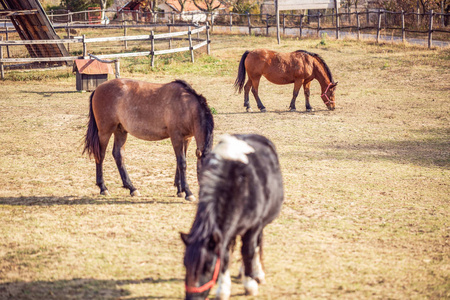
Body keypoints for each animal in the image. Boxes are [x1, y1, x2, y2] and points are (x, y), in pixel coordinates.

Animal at [84, 78, 214, 202]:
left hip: (120, 131)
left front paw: (180, 190)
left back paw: (132, 188)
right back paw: (103, 188)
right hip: (105, 132)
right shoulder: (176, 137)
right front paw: (188, 192)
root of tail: (98, 89)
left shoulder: (187, 138)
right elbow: (182, 163)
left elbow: (180, 162)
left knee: (118, 155)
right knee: (100, 155)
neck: (186, 105)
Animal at [180, 134, 284, 300]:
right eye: (185, 265)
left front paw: (250, 284)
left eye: (208, 266)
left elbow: (248, 251)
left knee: (255, 245)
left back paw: (256, 273)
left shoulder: (253, 227)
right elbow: (225, 256)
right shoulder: (223, 234)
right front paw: (223, 289)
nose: (192, 298)